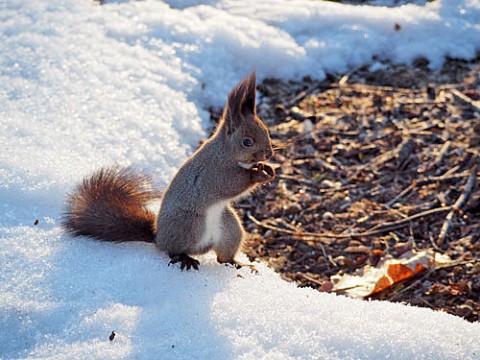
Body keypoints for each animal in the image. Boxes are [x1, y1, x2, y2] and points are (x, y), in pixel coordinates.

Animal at [62, 72, 276, 270]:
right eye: (247, 142)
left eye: (266, 131)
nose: (268, 153)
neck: (225, 152)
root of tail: (158, 237)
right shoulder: (214, 173)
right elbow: (233, 184)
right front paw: (258, 174)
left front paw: (268, 169)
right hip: (189, 225)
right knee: (172, 250)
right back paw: (185, 258)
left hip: (230, 229)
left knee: (223, 257)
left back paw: (237, 264)